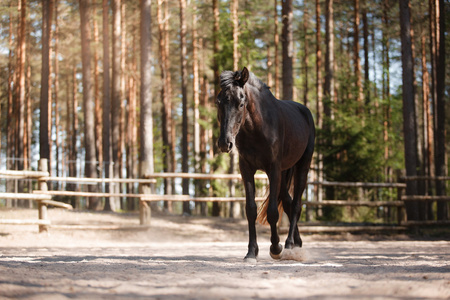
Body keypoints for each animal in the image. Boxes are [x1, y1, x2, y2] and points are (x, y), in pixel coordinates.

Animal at [216, 67, 314, 262]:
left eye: (241, 103)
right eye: (218, 102)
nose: (225, 143)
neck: (258, 128)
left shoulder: (273, 170)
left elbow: (272, 212)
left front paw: (275, 248)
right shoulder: (246, 169)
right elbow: (251, 210)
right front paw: (251, 252)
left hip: (302, 166)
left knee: (296, 205)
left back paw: (289, 244)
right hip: (285, 172)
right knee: (288, 202)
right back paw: (297, 243)